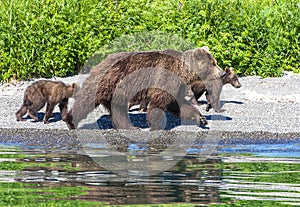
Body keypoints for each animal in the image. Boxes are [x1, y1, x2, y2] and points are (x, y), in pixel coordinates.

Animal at [65, 47, 225, 130]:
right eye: (213, 63)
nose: (223, 73)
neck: (183, 72)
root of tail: (101, 62)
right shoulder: (166, 78)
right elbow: (159, 102)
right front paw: (156, 126)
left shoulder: (177, 86)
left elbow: (178, 104)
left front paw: (201, 119)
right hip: (107, 82)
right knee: (87, 100)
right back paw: (70, 121)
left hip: (118, 91)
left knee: (118, 109)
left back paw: (128, 126)